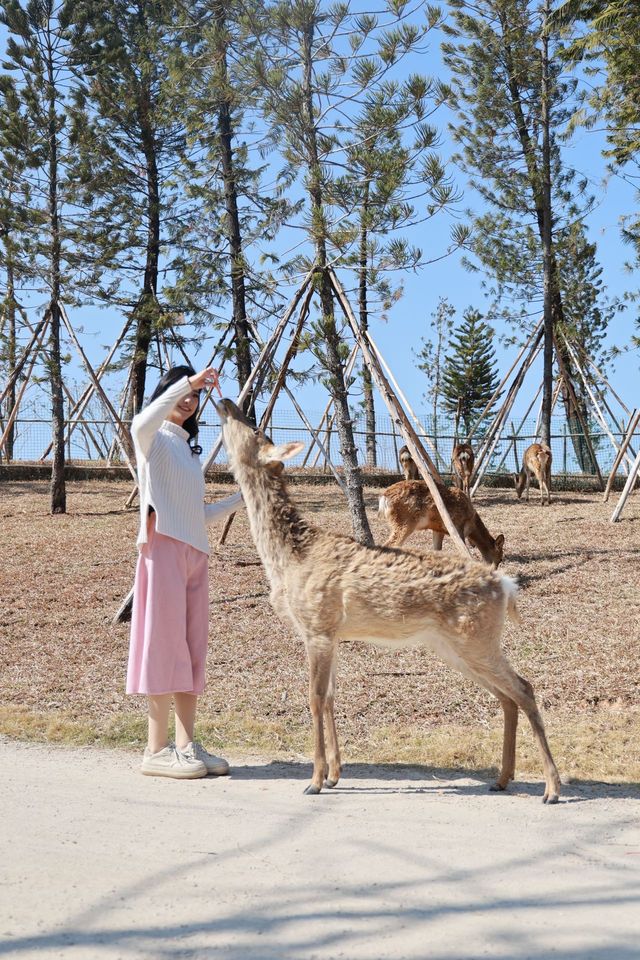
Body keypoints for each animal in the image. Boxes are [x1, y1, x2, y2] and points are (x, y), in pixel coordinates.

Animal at [216, 396, 560, 804]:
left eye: (256, 428)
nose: (226, 401)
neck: (289, 559)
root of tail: (506, 586)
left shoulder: (317, 626)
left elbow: (315, 698)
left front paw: (315, 781)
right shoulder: (332, 634)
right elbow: (330, 697)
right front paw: (335, 774)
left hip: (476, 638)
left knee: (524, 687)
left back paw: (552, 788)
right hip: (456, 645)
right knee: (507, 696)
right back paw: (503, 778)